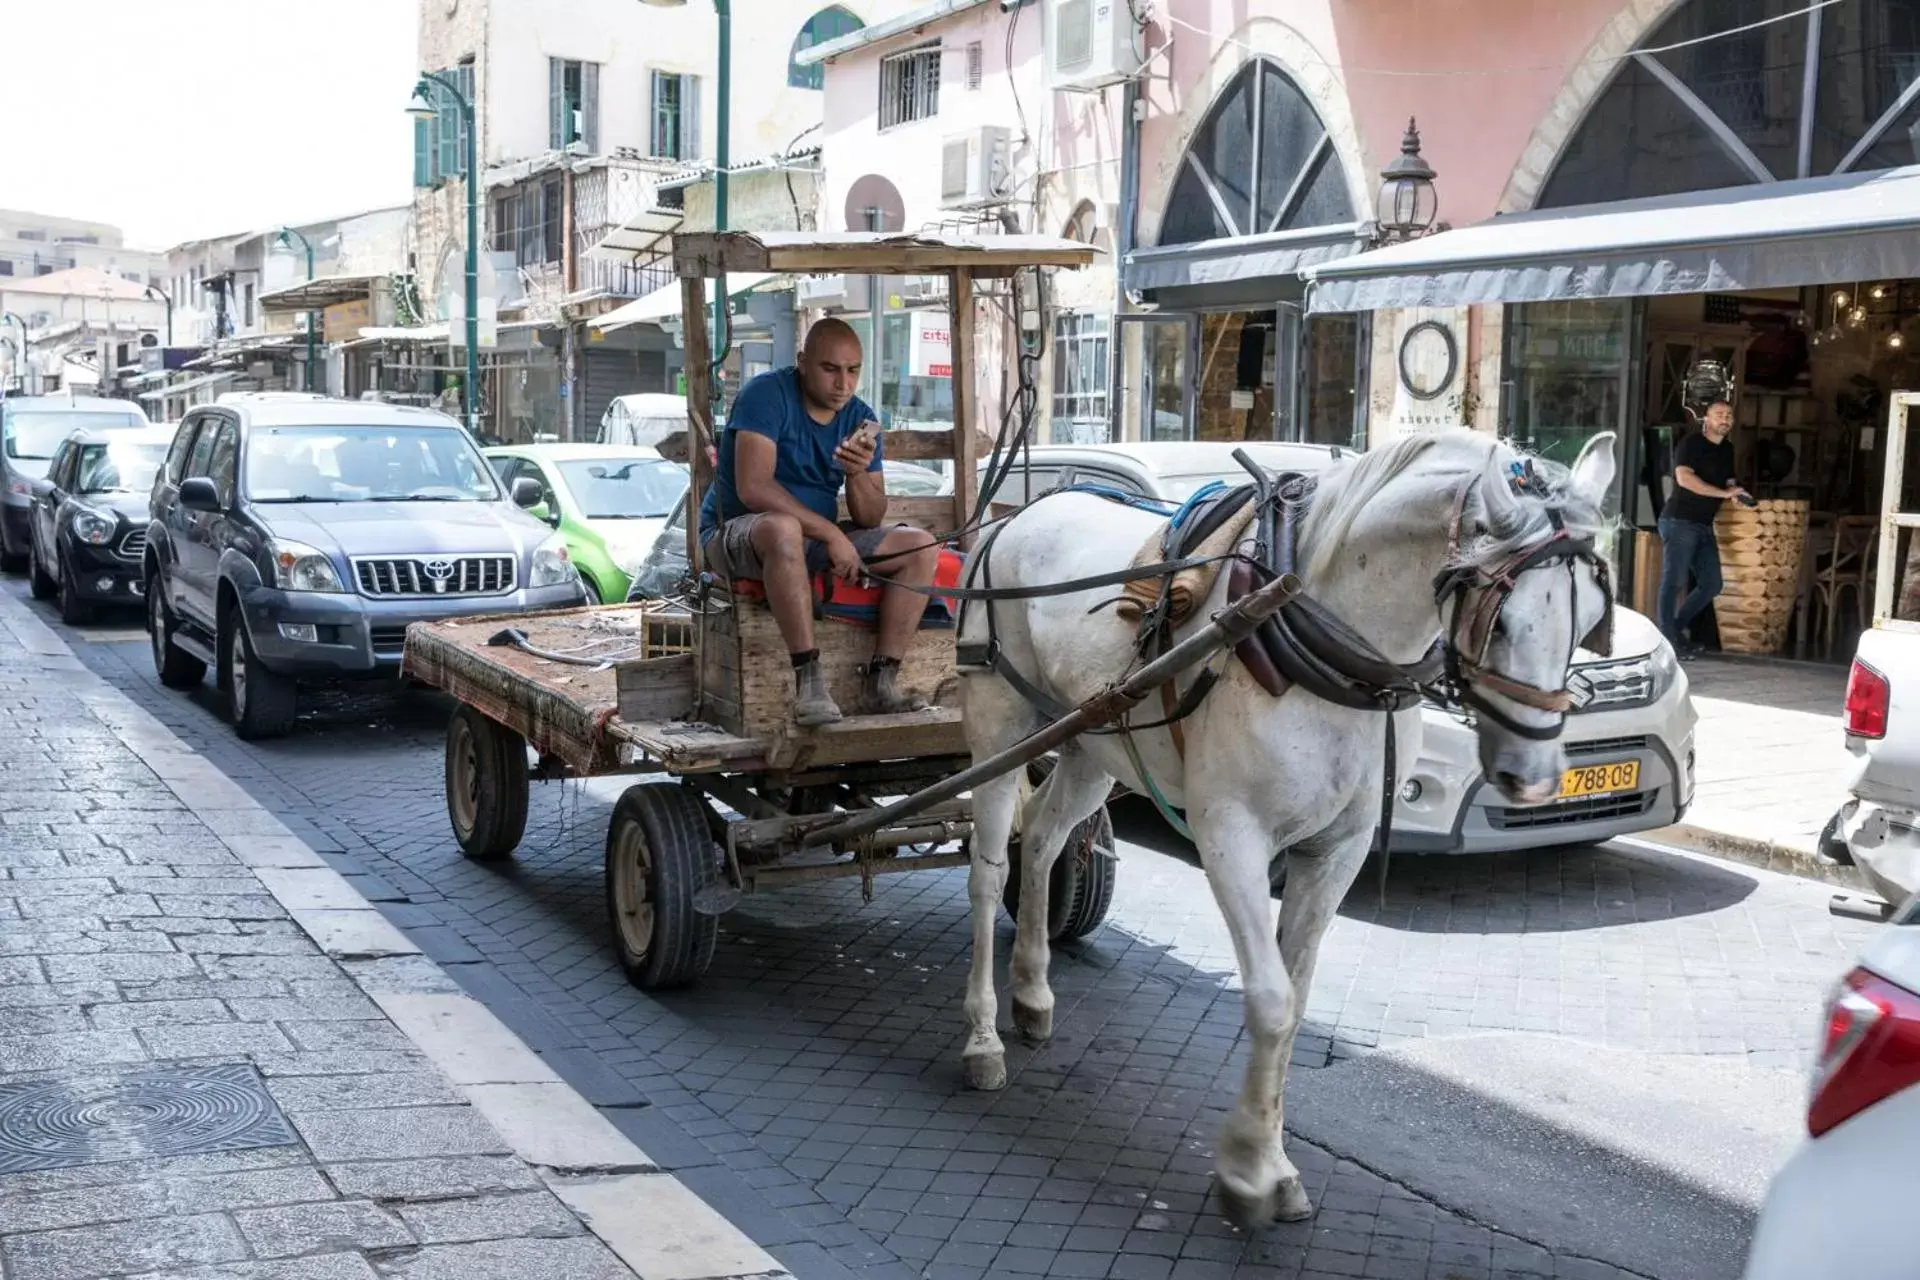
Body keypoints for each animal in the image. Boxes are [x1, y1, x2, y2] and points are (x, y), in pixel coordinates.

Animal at [952, 427, 1612, 1228]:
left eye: (1590, 620)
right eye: (1504, 618)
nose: (1535, 777)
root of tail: (1014, 516)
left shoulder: (1337, 850)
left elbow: (1295, 1004)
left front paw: (1270, 1157)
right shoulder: (1230, 835)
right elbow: (1269, 1001)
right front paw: (1247, 1171)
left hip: (1091, 741)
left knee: (1046, 840)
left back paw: (1033, 993)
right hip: (999, 727)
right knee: (986, 873)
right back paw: (983, 1038)